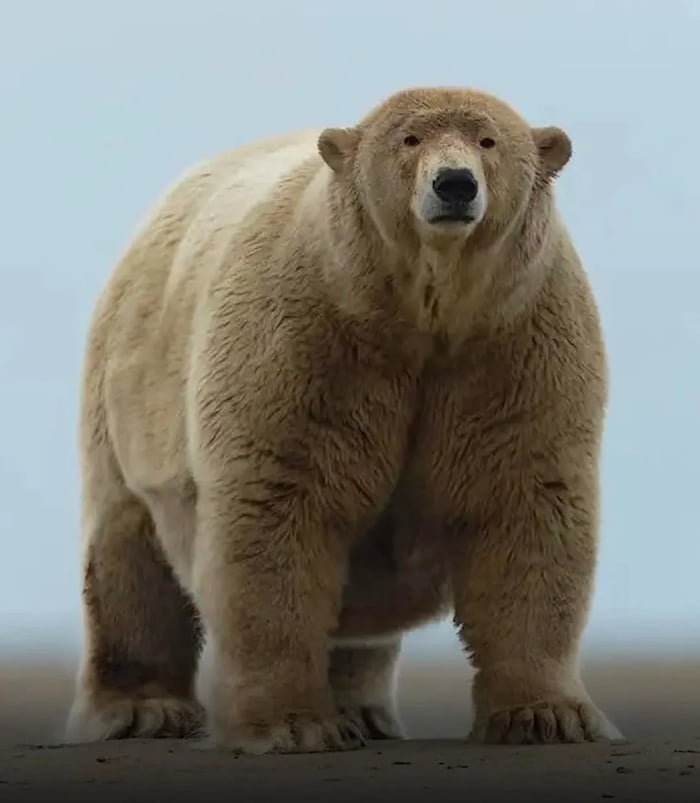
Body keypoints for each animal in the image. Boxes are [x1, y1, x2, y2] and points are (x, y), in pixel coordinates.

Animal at [65, 85, 623, 753]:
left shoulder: (515, 346)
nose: (455, 183)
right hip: (126, 392)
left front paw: (549, 717)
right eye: (409, 139)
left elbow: (525, 507)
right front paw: (292, 725)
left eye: (489, 140)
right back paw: (142, 710)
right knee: (128, 551)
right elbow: (280, 507)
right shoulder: (306, 337)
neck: (422, 316)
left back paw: (365, 711)